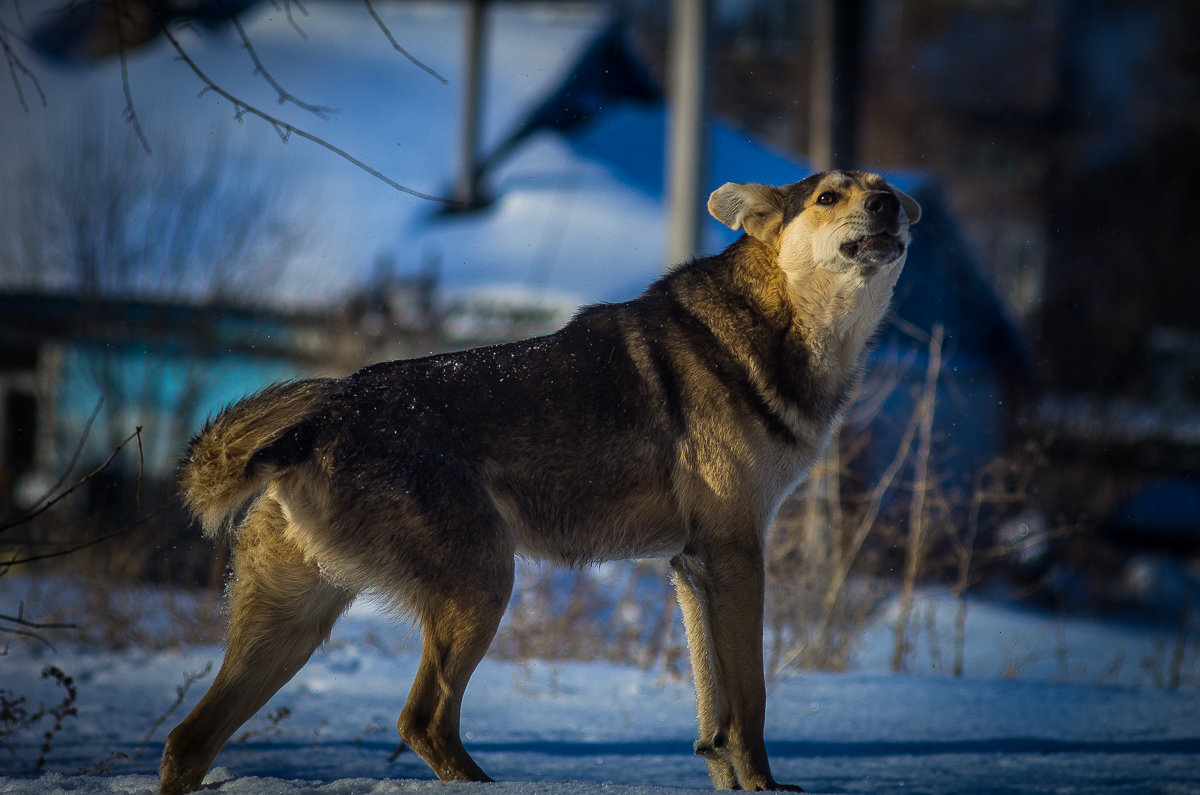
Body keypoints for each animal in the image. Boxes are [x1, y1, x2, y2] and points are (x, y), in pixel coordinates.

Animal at [159, 171, 916, 792]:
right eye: (830, 196)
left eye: (883, 188)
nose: (890, 205)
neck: (783, 320)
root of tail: (315, 425)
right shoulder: (735, 553)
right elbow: (750, 703)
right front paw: (764, 786)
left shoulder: (693, 564)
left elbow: (714, 716)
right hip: (482, 580)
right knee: (422, 721)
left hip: (292, 622)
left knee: (187, 740)